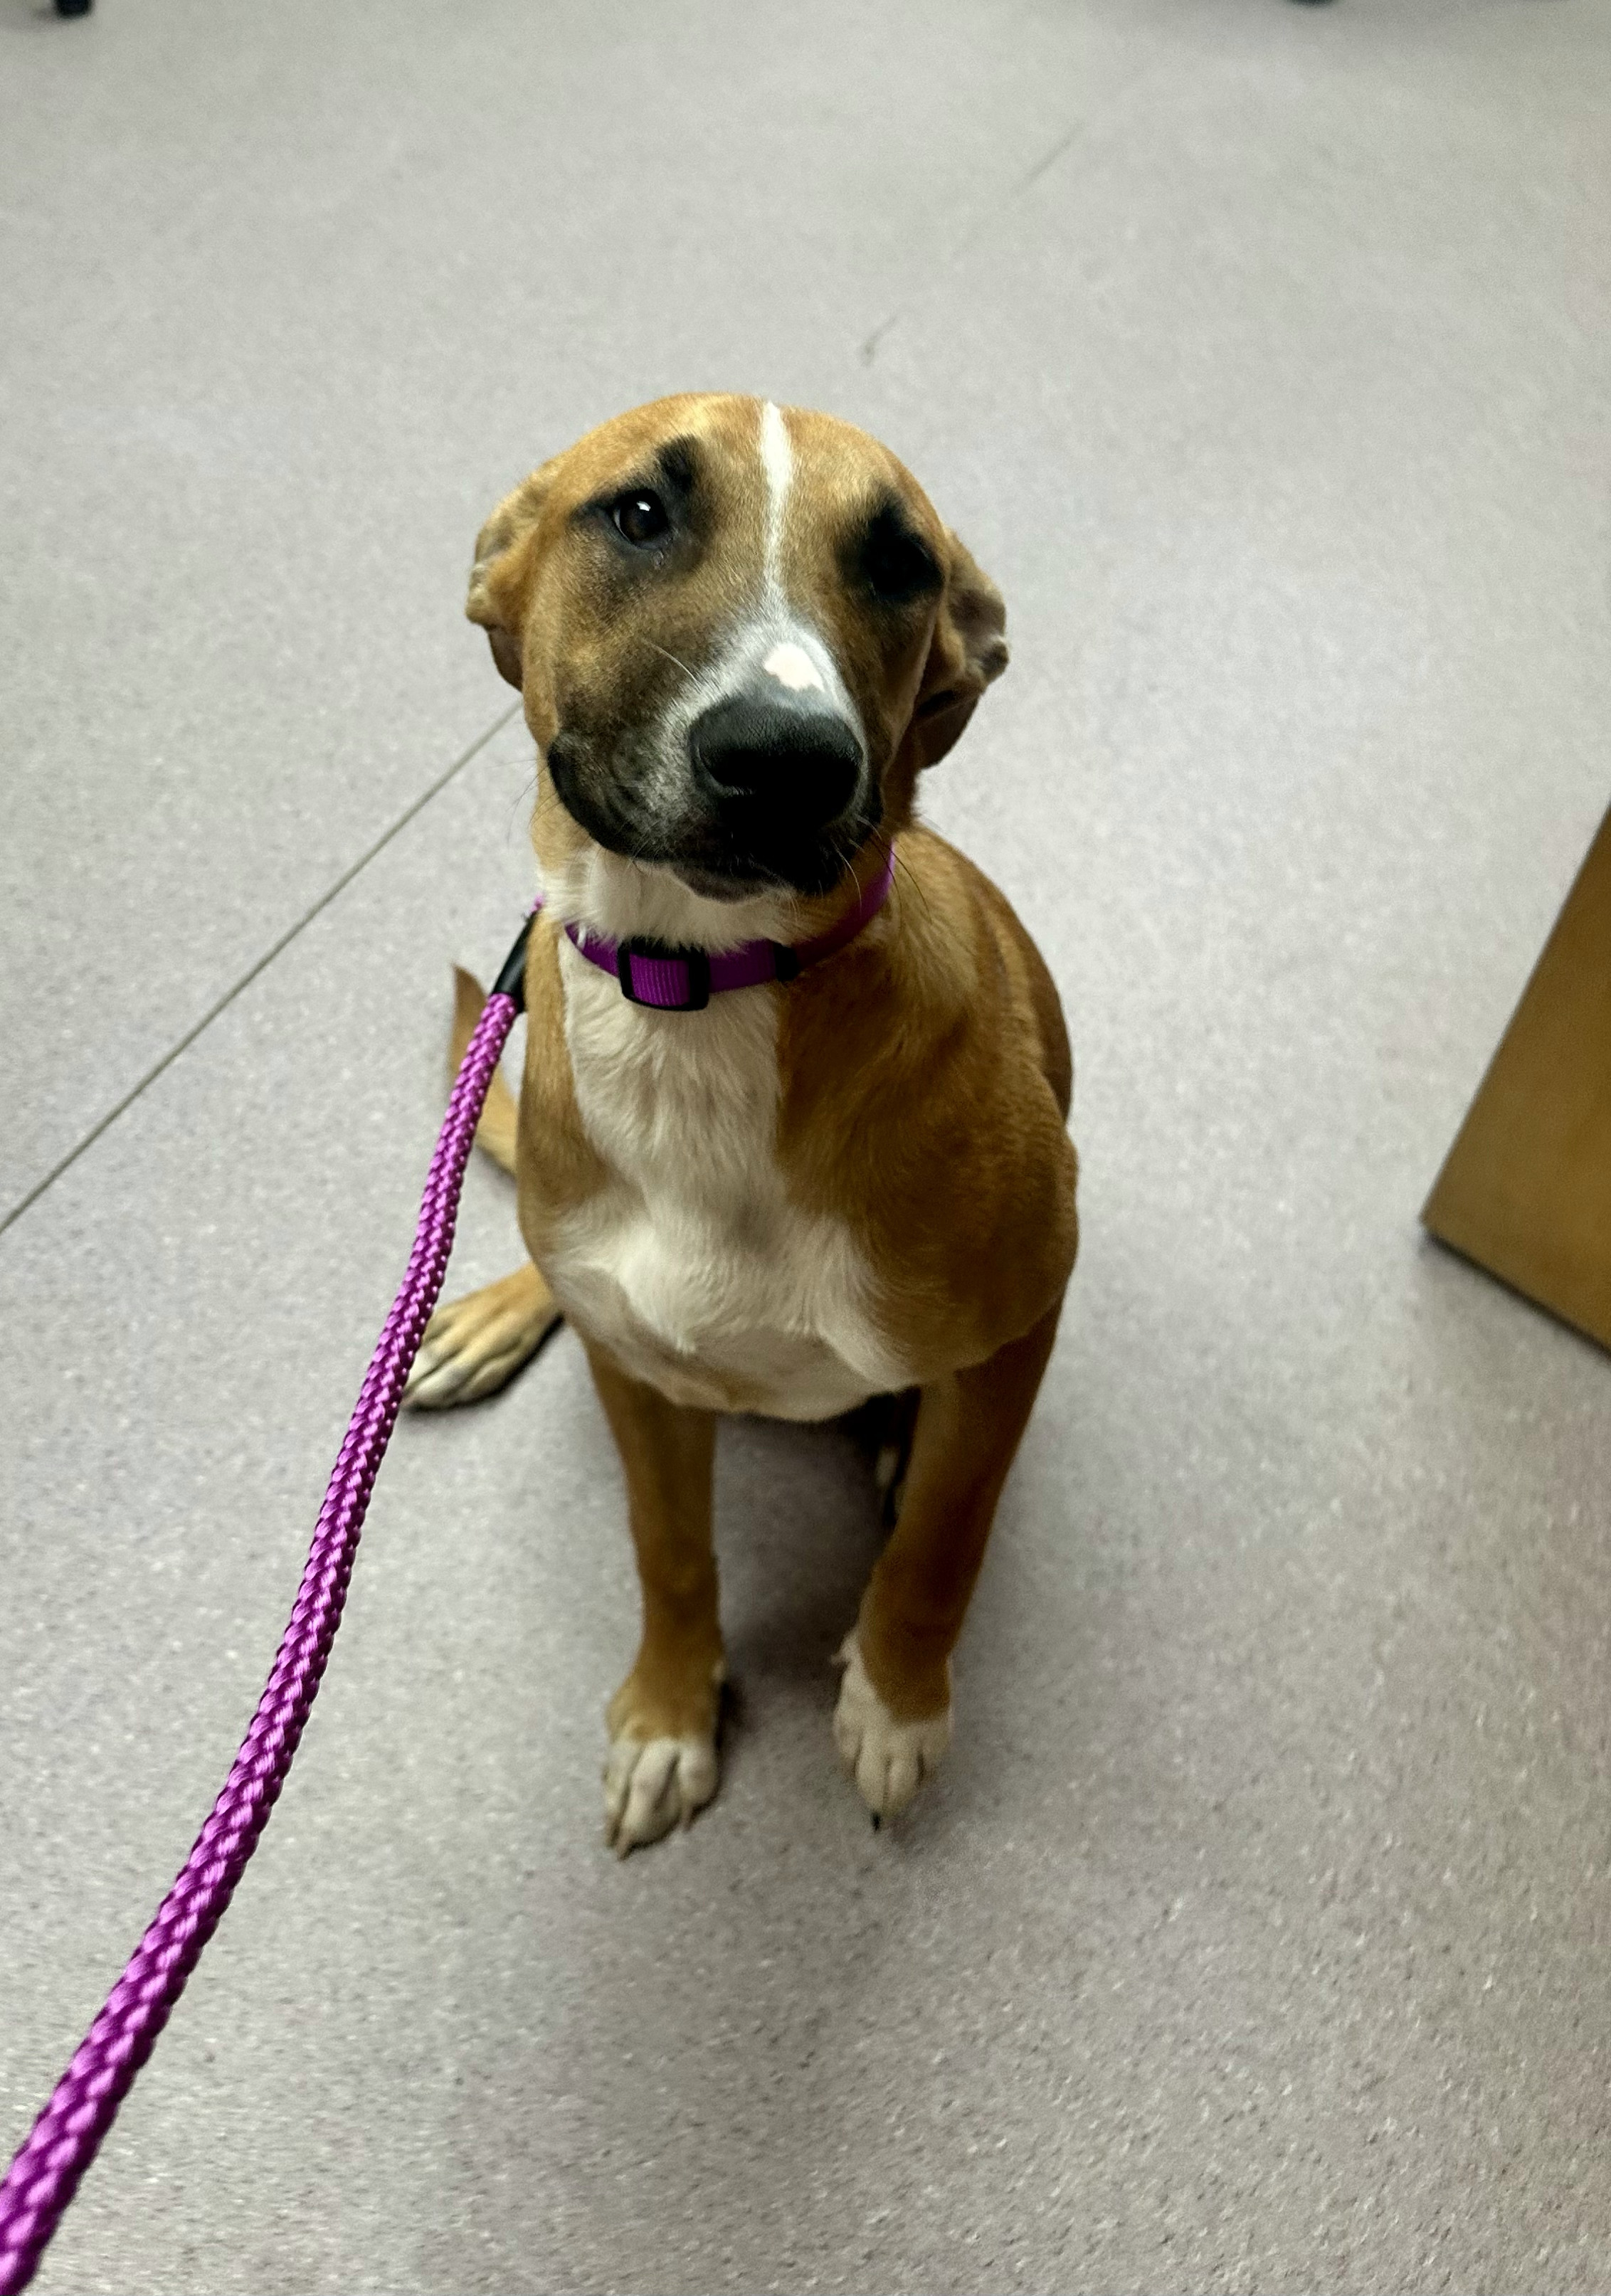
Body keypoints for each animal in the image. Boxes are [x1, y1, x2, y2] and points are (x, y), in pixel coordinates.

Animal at [406, 395, 1083, 1855]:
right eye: (639, 514)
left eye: (901, 563)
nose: (785, 760)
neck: (704, 992)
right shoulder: (641, 1383)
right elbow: (669, 1552)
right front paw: (670, 1713)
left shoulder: (1022, 1321)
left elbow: (943, 1534)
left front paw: (895, 1700)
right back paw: (490, 1312)